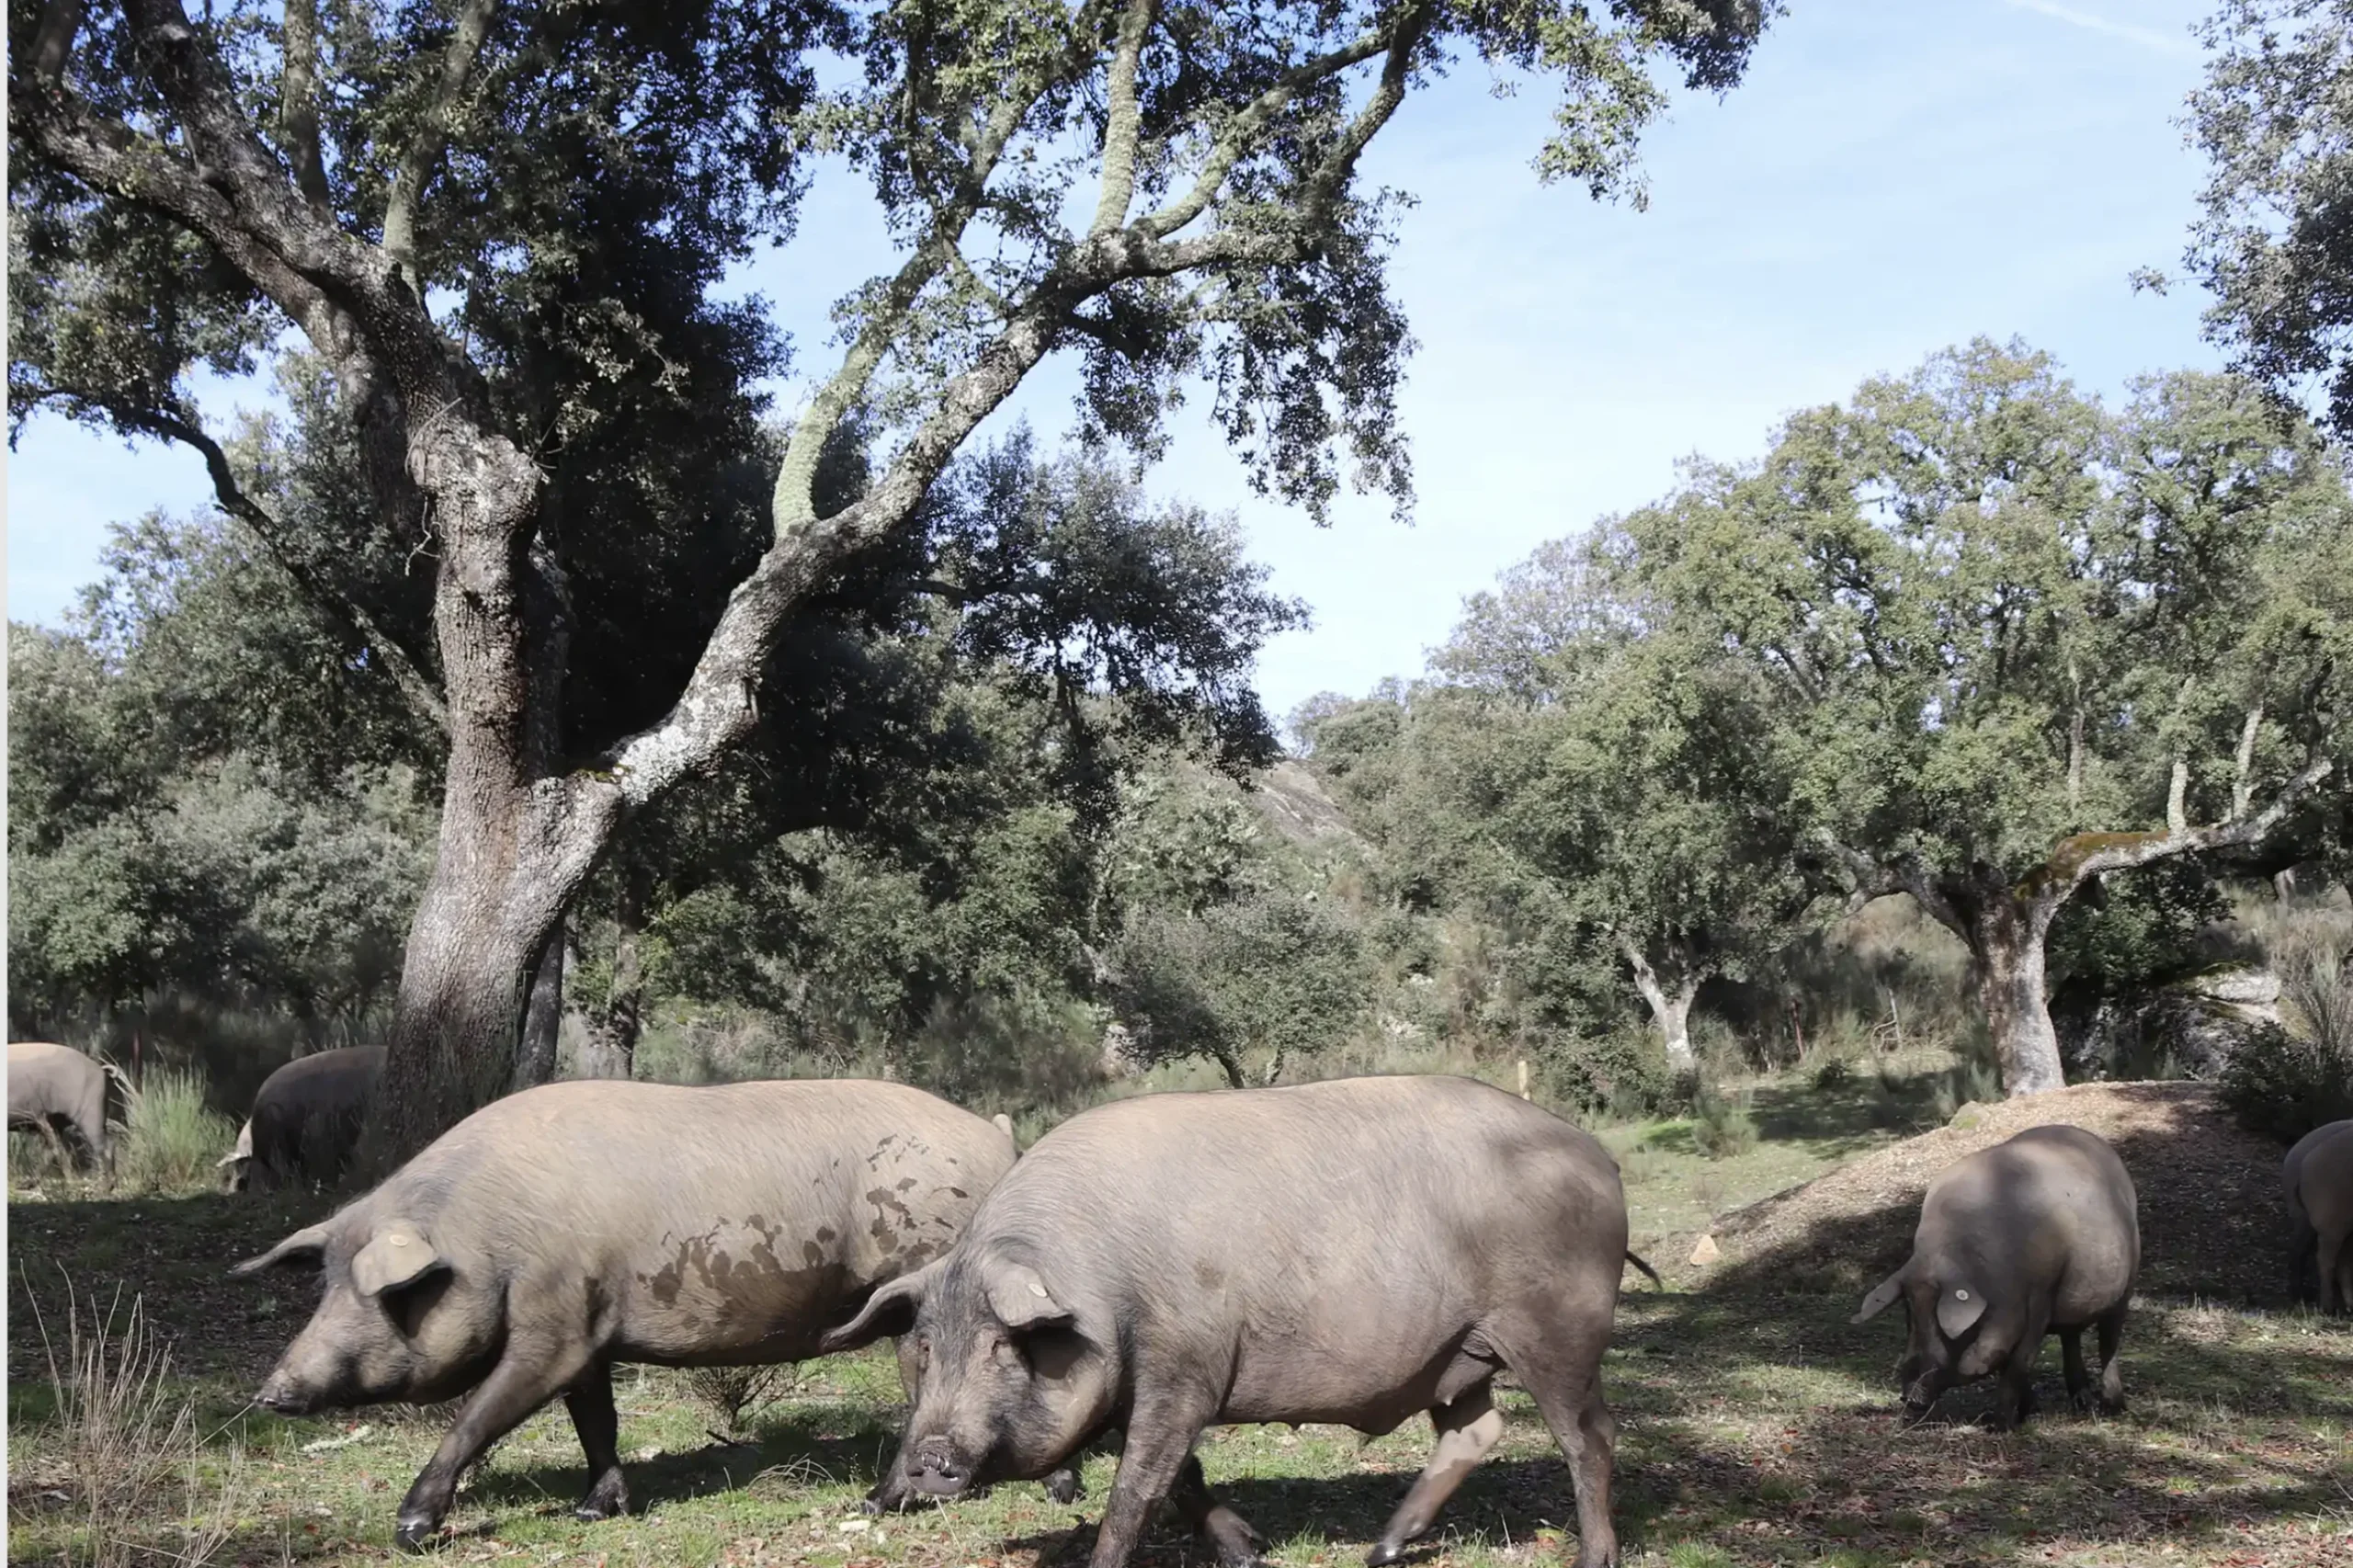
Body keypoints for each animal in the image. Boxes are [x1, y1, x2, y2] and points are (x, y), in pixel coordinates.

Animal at [233, 1077, 1060, 1549]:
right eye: (324, 1285)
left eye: (386, 1294)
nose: (272, 1392)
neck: (487, 1235)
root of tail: (998, 1139)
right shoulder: (588, 1331)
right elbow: (595, 1421)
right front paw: (592, 1514)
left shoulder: (552, 1327)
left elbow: (477, 1419)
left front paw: (409, 1532)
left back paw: (885, 1502)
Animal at [821, 1074, 1646, 1568]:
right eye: (924, 1346)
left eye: (1002, 1344)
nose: (928, 1460)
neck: (1103, 1286)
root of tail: (1598, 1157)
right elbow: (1182, 1477)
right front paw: (1251, 1550)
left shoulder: (1185, 1368)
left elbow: (1139, 1487)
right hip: (1457, 1349)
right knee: (1477, 1430)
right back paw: (1381, 1550)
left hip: (1558, 1331)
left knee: (1590, 1435)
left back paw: (1592, 1557)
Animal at [1853, 1123, 2138, 1429]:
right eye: (1909, 1314)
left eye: (1940, 1322)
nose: (1908, 1397)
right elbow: (2008, 1363)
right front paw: (2024, 1414)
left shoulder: (2040, 1297)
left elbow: (2018, 1364)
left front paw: (2001, 1426)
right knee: (2071, 1338)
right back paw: (2082, 1405)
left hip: (2126, 1282)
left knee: (2109, 1342)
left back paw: (2113, 1408)